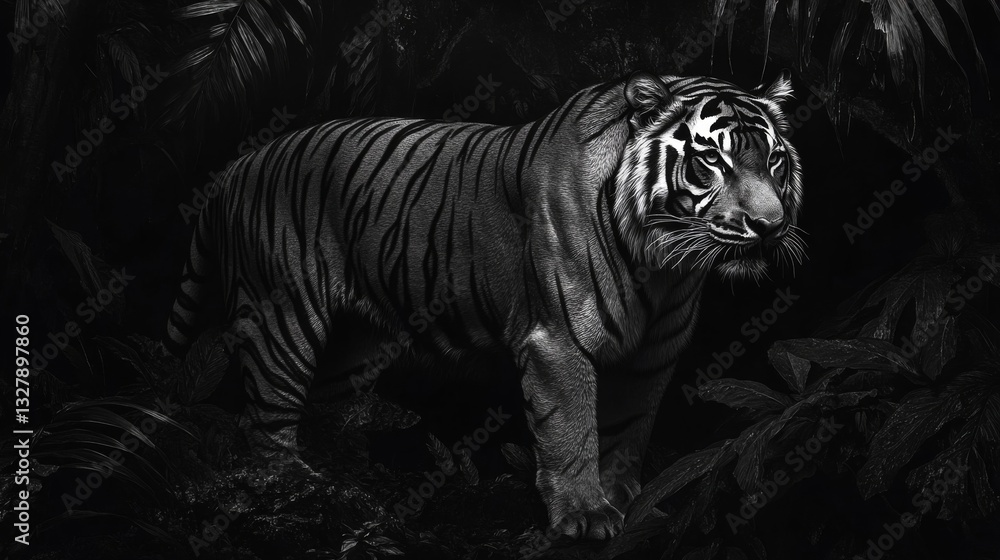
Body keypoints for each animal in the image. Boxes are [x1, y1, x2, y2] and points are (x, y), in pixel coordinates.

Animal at [167, 71, 805, 540]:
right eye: (713, 160)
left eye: (773, 161)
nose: (769, 226)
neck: (665, 269)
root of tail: (237, 165)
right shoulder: (556, 341)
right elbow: (571, 428)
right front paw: (584, 514)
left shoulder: (652, 356)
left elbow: (628, 429)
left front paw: (629, 500)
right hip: (282, 319)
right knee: (263, 423)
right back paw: (294, 495)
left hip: (352, 345)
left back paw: (349, 483)